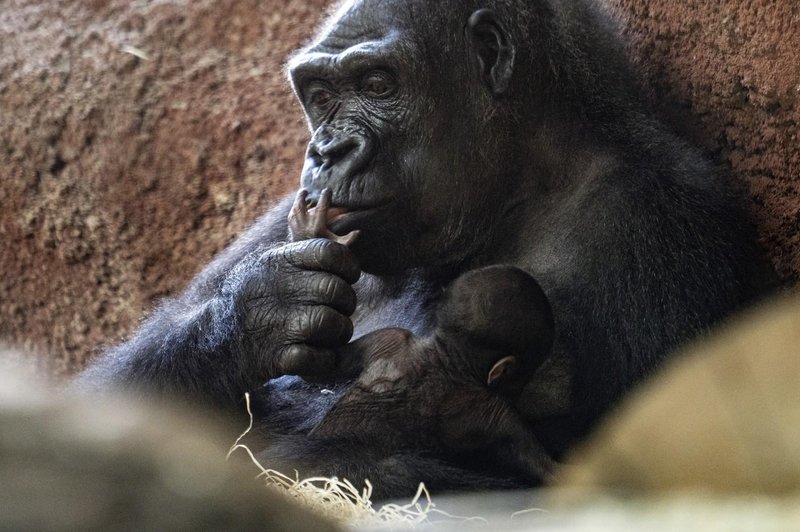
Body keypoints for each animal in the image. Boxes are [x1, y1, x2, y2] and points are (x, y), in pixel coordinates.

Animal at [290, 191, 560, 482]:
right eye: (525, 371)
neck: (444, 355)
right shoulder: (494, 411)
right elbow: (544, 467)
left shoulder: (391, 338)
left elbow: (320, 364)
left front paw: (311, 239)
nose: (521, 385)